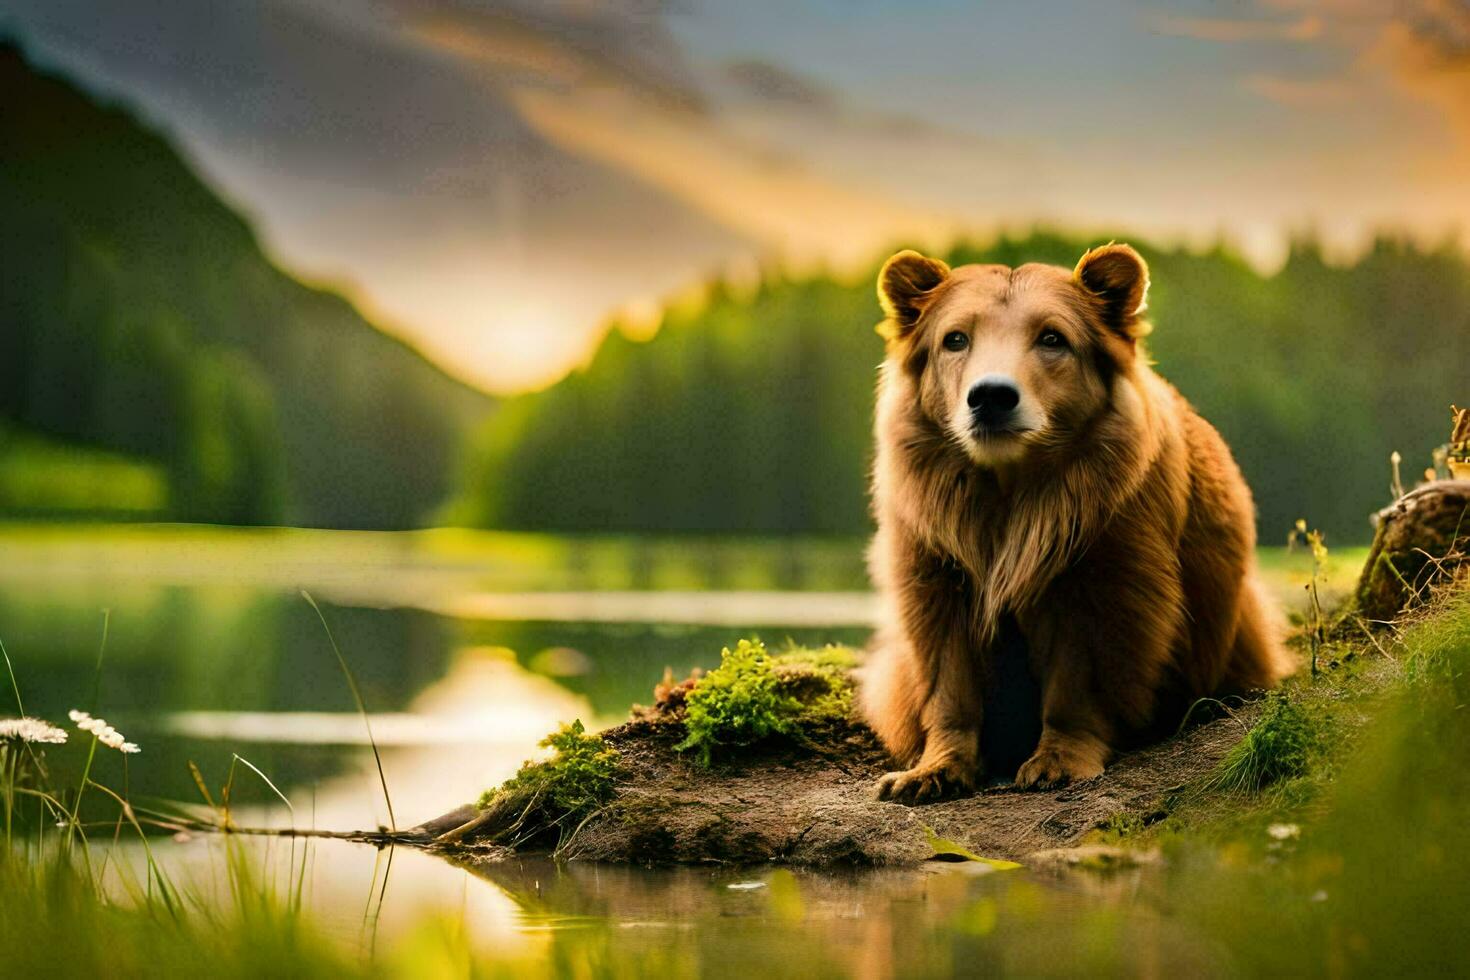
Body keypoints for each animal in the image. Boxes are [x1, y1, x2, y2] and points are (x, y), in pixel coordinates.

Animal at [858, 240, 1293, 799]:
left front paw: (1059, 759)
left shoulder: (1104, 564)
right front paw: (934, 769)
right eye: (954, 338)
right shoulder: (936, 562)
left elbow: (1079, 677)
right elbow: (948, 678)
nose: (991, 396)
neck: (1009, 488)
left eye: (1052, 338)